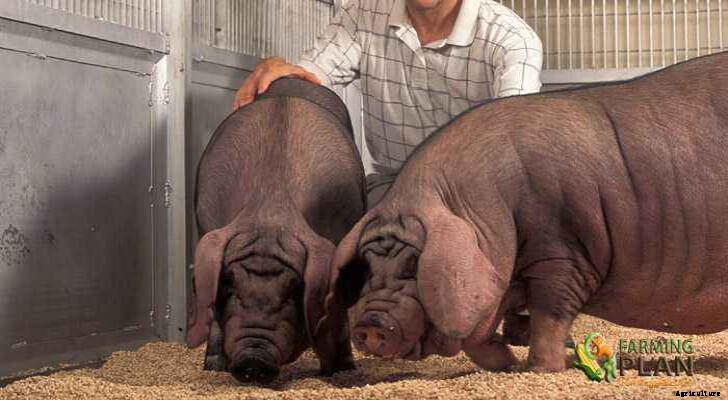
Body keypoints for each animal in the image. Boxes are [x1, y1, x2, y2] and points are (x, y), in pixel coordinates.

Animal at [187, 77, 366, 383]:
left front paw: (341, 370)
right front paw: (213, 366)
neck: (271, 210)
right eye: (227, 283)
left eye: (296, 289)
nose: (253, 359)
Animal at [315, 52, 728, 373]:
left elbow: (550, 316)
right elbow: (481, 332)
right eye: (368, 268)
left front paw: (543, 368)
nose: (370, 324)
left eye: (414, 266)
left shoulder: (562, 252)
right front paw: (508, 363)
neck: (483, 208)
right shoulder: (500, 273)